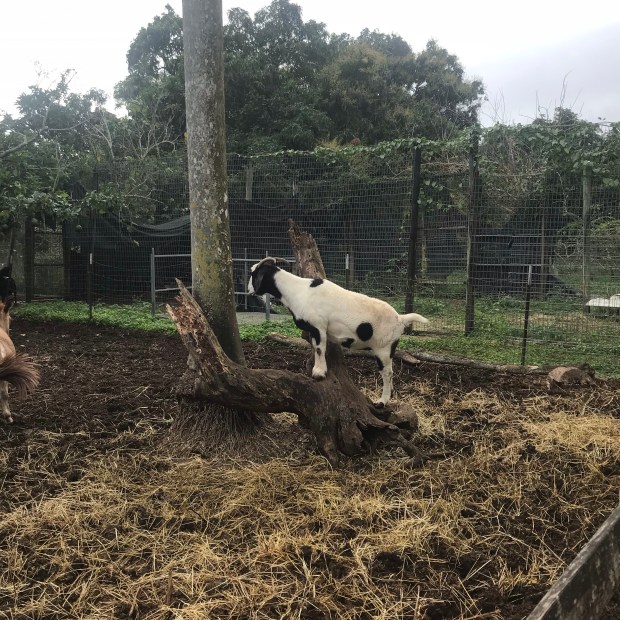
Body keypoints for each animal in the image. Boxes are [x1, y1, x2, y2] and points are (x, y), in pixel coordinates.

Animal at [248, 257, 428, 405]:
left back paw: (381, 402)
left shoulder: (318, 325)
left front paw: (319, 373)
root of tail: (400, 318)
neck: (299, 290)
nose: (249, 291)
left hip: (383, 348)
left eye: (253, 273)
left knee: (388, 373)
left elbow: (320, 349)